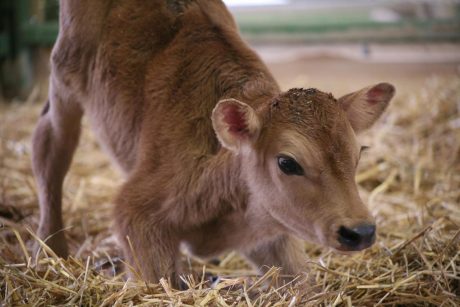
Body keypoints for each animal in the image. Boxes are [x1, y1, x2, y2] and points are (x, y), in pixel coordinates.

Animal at [31, 0, 396, 288]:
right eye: (287, 162)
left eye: (357, 154)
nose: (361, 231)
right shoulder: (137, 212)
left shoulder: (272, 227)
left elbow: (301, 282)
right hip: (65, 74)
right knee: (50, 145)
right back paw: (51, 249)